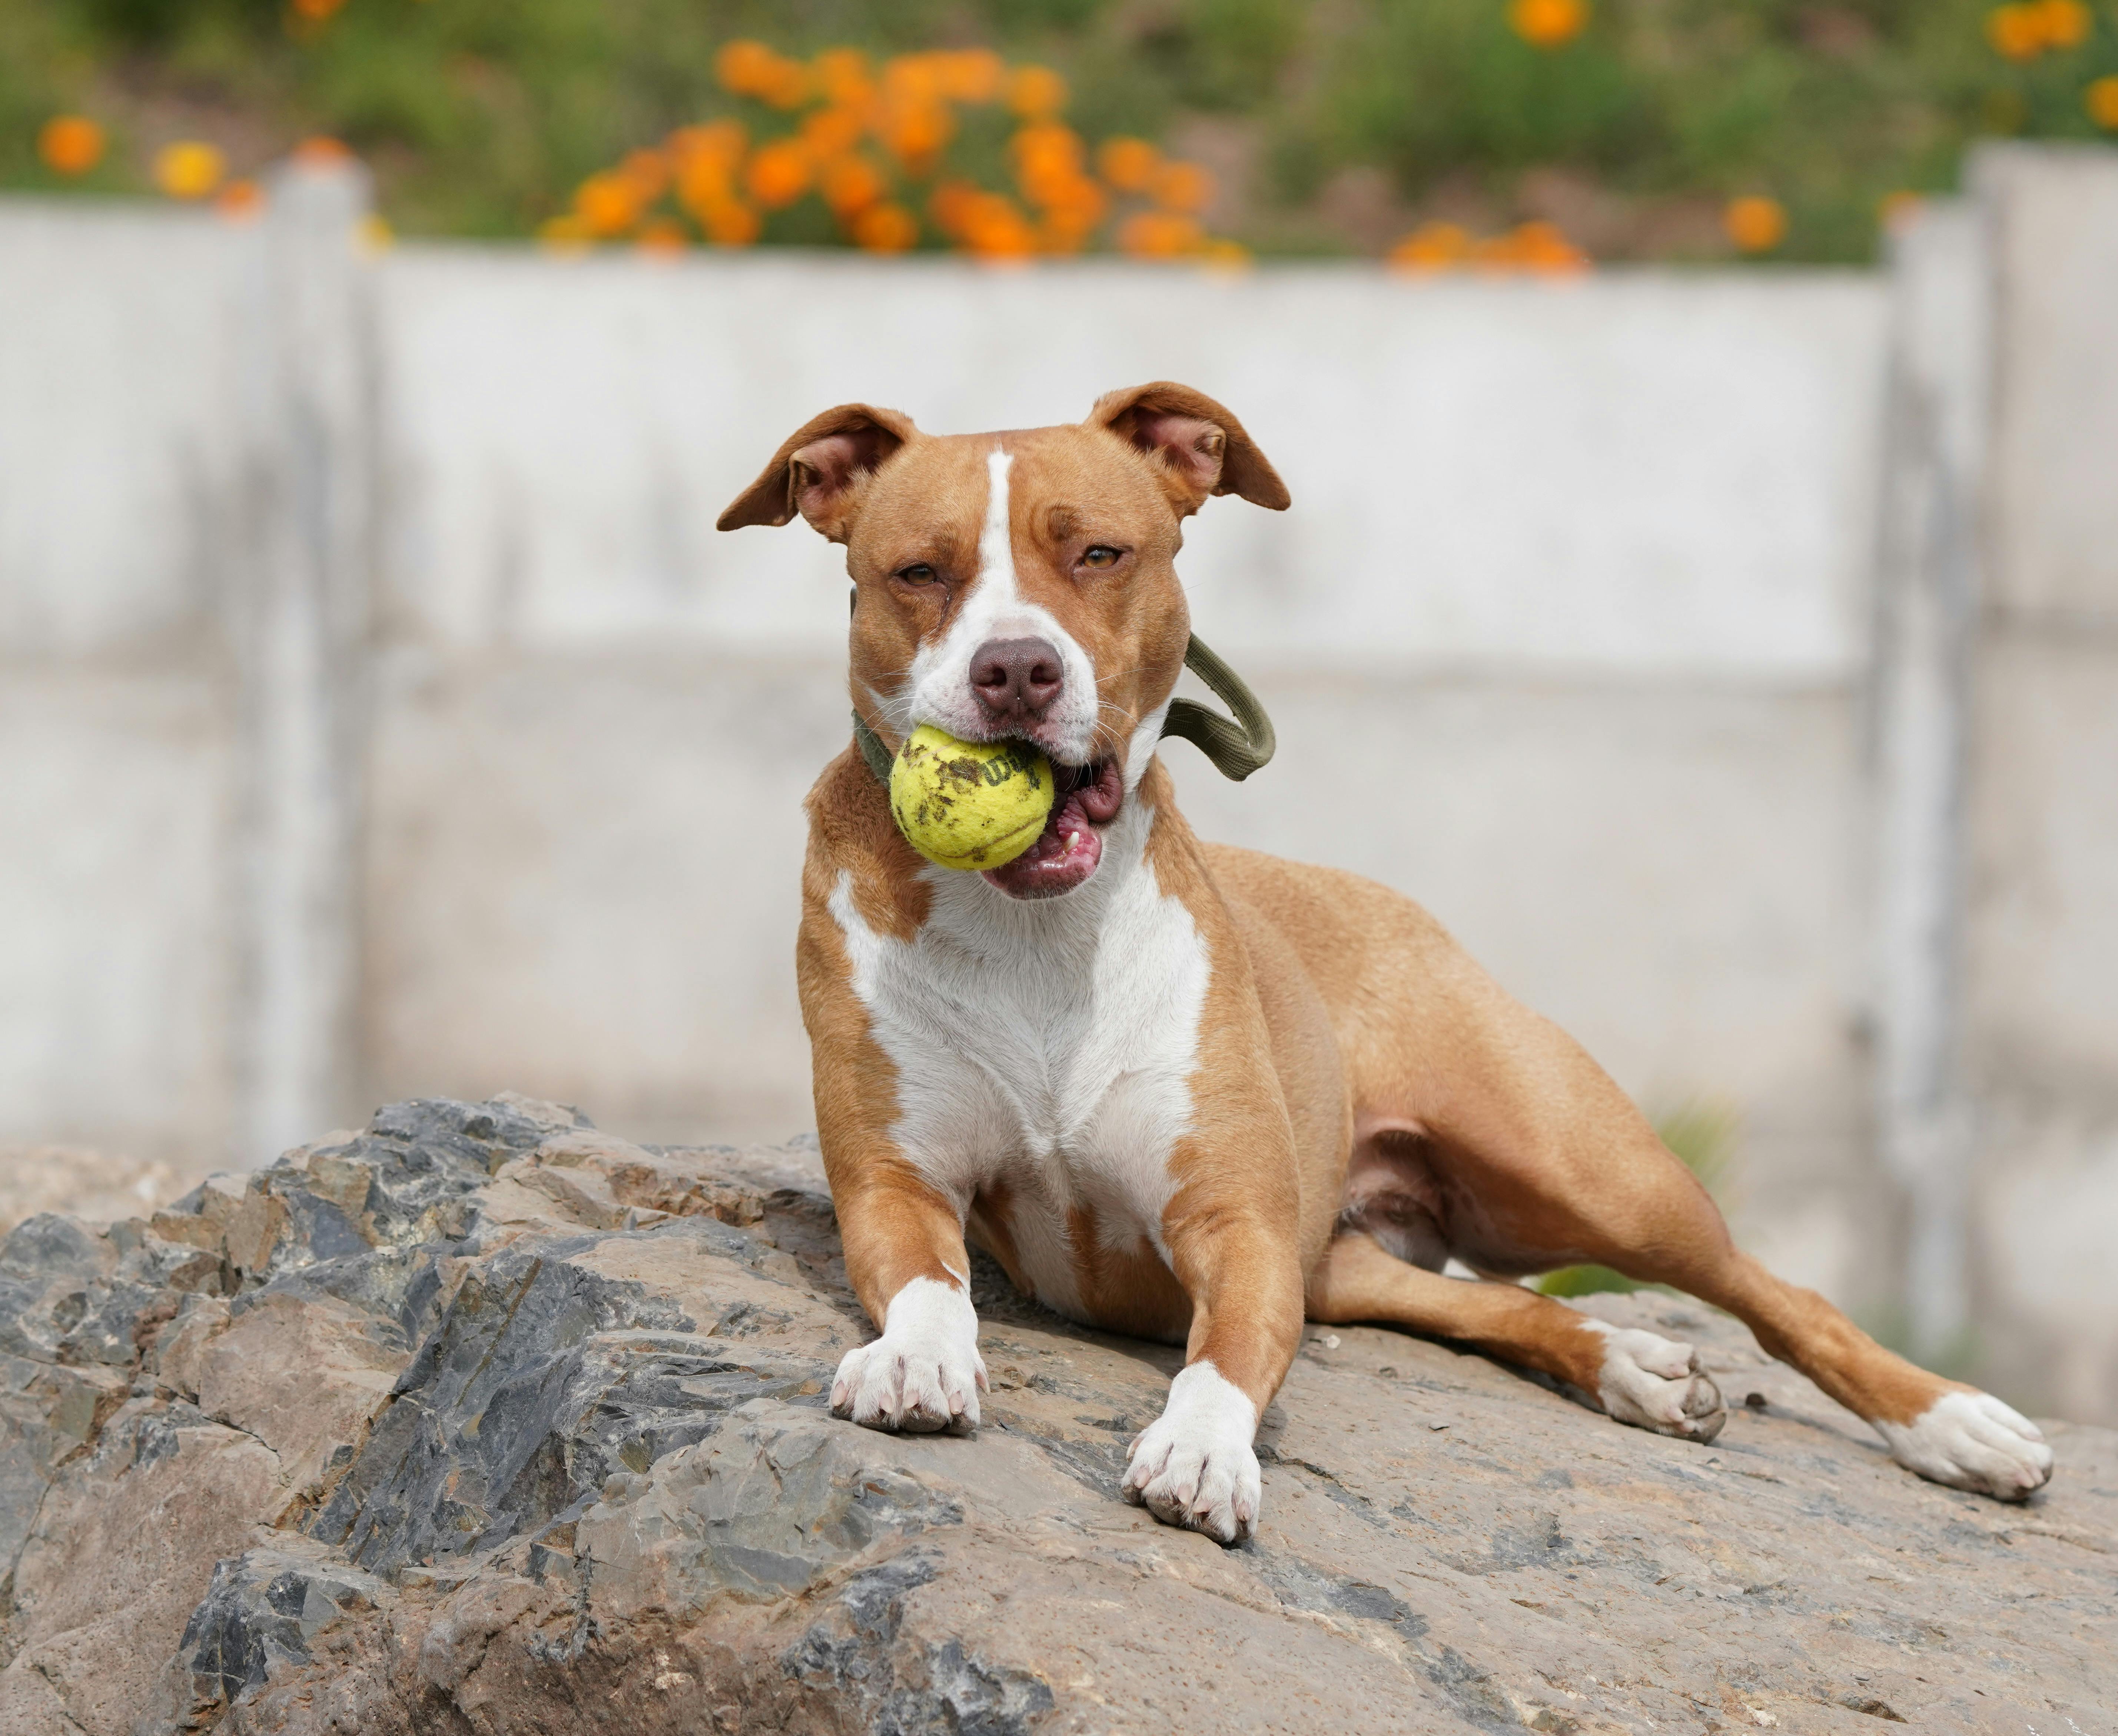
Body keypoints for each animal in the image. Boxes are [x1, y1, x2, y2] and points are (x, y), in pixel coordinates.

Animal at [720, 383, 2058, 1550]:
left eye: (1099, 552)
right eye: (919, 571)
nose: (1013, 668)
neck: (1041, 933)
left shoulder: (1241, 1224)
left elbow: (1222, 1361)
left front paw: (1201, 1450)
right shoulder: (896, 1179)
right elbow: (924, 1279)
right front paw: (918, 1353)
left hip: (1584, 1170)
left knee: (1776, 1292)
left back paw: (1959, 1426)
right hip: (1355, 1257)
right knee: (1494, 1299)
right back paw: (1628, 1361)